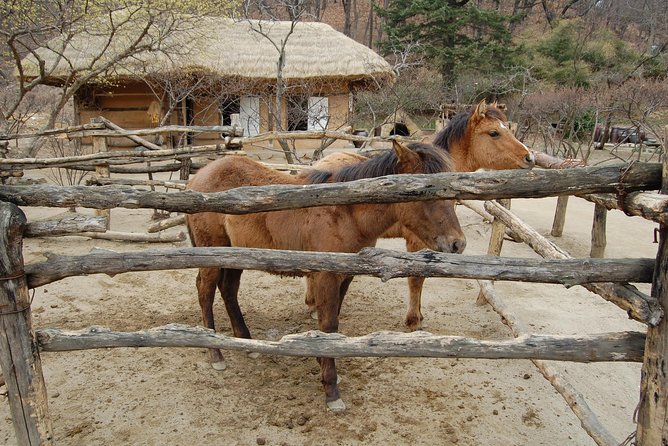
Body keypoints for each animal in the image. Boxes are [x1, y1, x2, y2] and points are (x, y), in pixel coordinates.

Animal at [183, 139, 464, 412]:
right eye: (422, 192)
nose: (457, 244)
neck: (344, 213)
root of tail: (196, 180)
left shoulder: (345, 275)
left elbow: (332, 322)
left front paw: (323, 361)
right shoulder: (325, 276)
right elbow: (328, 325)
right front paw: (331, 390)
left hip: (234, 255)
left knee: (228, 290)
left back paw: (246, 342)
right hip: (213, 254)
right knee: (205, 293)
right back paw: (216, 354)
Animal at [310, 101, 536, 332]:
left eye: (508, 129)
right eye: (494, 133)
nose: (530, 157)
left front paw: (419, 315)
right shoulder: (417, 241)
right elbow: (416, 279)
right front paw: (413, 320)